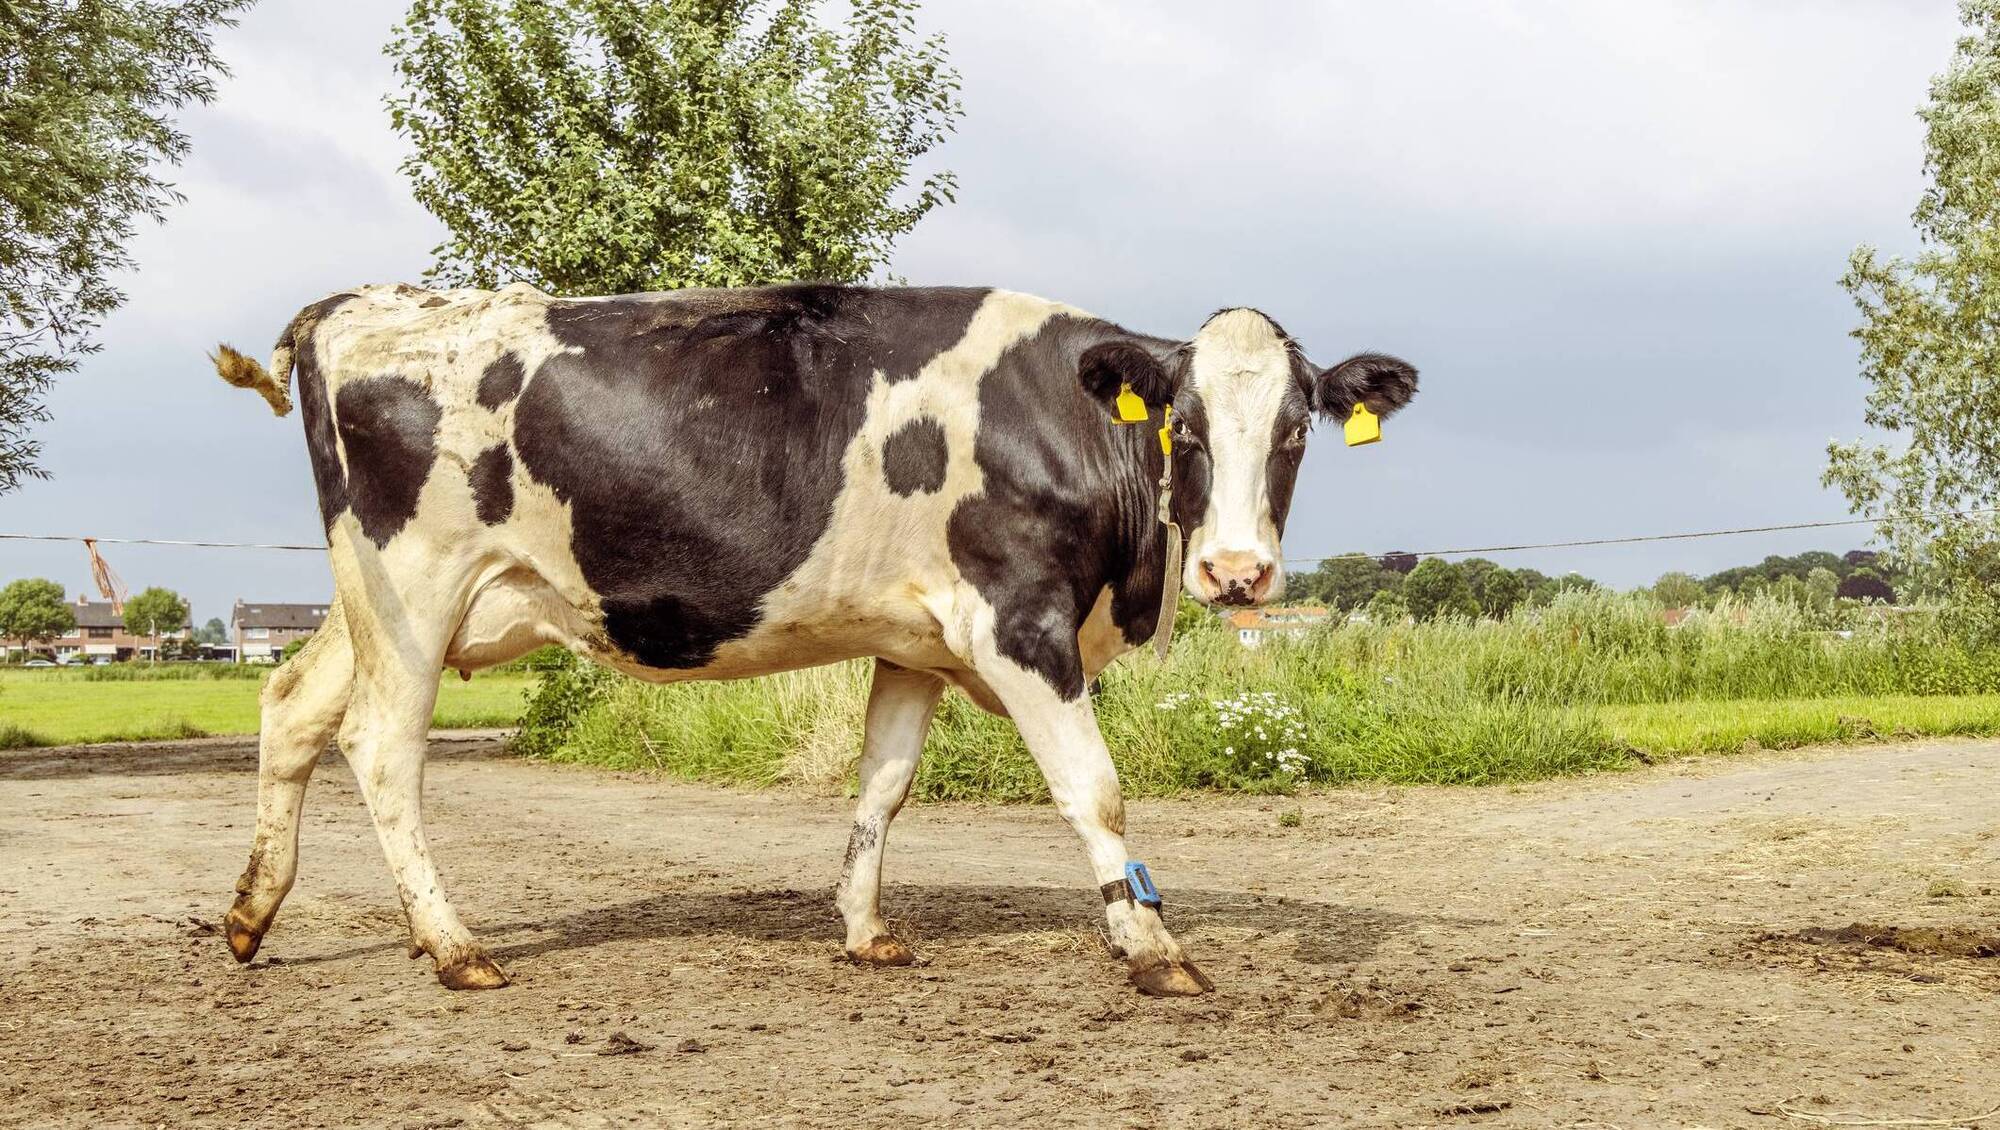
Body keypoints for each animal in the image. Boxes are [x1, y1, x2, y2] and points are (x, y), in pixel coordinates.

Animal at [211, 282, 1417, 995]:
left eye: (1295, 431)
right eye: (1186, 427)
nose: (1237, 571)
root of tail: (357, 302)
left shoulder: (916, 644)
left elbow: (881, 786)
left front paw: (863, 928)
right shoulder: (1018, 623)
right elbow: (1096, 791)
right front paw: (1151, 947)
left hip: (373, 605)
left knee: (291, 706)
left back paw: (252, 914)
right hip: (414, 590)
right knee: (379, 748)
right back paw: (454, 947)